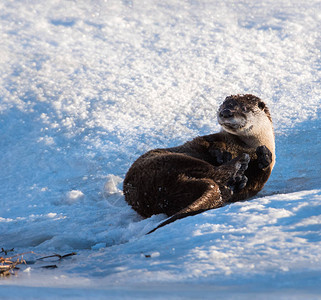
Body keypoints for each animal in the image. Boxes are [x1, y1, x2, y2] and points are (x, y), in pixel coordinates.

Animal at [124, 94, 274, 232]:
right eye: (222, 105)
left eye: (244, 108)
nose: (226, 112)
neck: (244, 146)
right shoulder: (212, 138)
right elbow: (207, 142)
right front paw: (222, 153)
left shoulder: (257, 183)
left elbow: (256, 181)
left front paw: (265, 156)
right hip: (171, 160)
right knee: (214, 171)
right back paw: (239, 165)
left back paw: (235, 181)